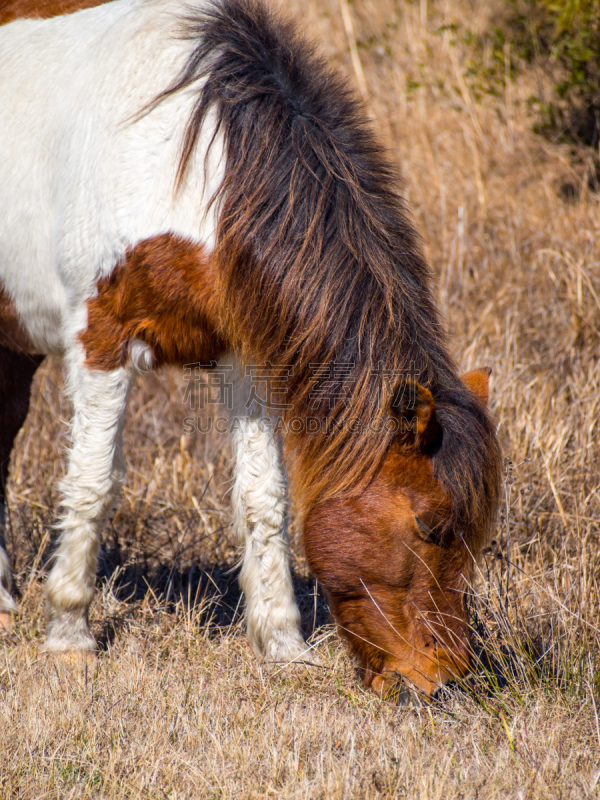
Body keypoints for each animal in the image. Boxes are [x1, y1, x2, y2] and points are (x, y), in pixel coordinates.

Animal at [0, 0, 502, 700]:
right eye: (432, 527)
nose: (446, 684)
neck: (187, 165)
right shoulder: (102, 339)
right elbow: (93, 484)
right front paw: (70, 635)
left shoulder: (247, 356)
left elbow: (265, 500)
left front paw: (284, 646)